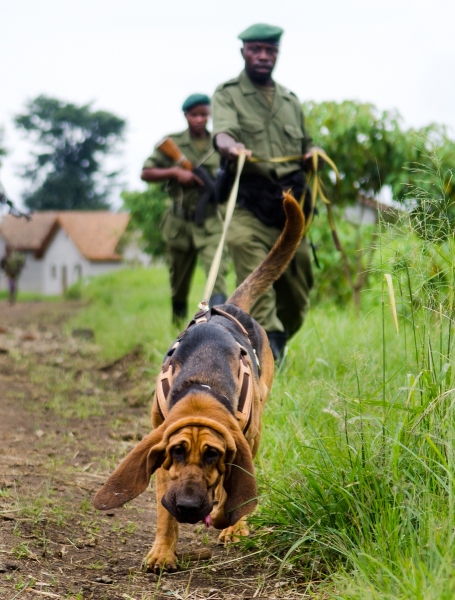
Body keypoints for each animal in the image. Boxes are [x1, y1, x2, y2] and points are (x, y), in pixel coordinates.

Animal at [94, 193, 304, 572]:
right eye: (177, 451)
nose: (189, 508)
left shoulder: (240, 446)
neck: (202, 390)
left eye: (212, 454)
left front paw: (230, 524)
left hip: (257, 428)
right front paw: (163, 552)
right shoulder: (161, 448)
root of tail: (227, 308)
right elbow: (164, 513)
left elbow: (234, 494)